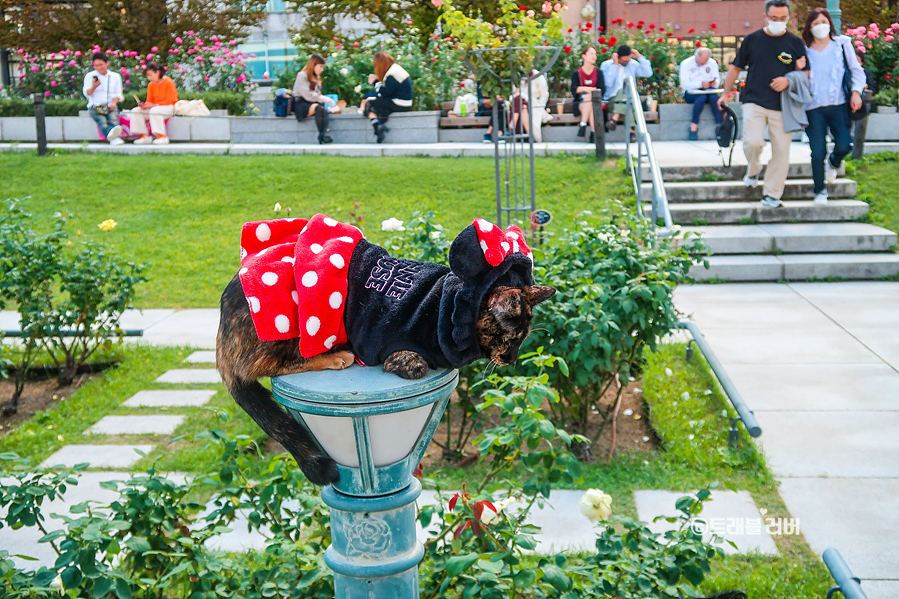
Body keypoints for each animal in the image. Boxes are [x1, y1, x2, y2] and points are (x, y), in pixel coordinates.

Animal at [218, 218, 556, 486]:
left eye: (522, 340)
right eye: (509, 339)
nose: (512, 360)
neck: (447, 306)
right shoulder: (386, 344)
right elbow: (414, 362)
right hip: (285, 320)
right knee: (265, 365)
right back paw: (335, 355)